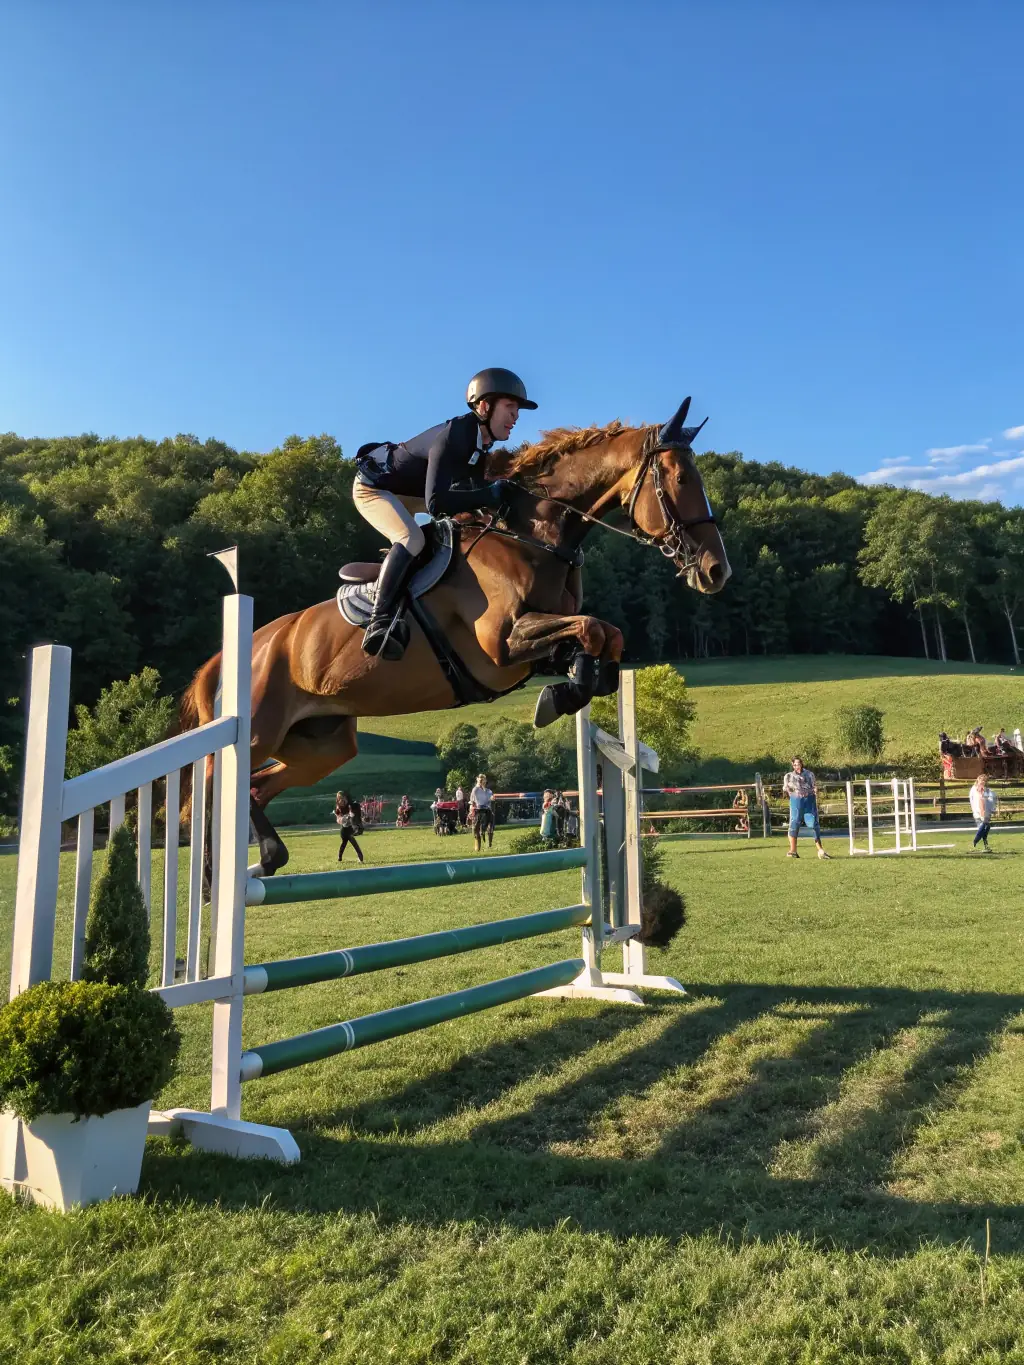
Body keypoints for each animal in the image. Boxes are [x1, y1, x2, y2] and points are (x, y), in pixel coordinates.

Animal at [179, 397, 731, 874]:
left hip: (322, 745)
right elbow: (594, 629)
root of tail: (237, 652)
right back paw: (212, 876)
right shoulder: (503, 646)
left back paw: (268, 857)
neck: (531, 537)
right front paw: (559, 696)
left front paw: (569, 690)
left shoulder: (535, 650)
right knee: (212, 787)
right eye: (680, 478)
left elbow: (604, 637)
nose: (715, 571)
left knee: (254, 789)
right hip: (258, 731)